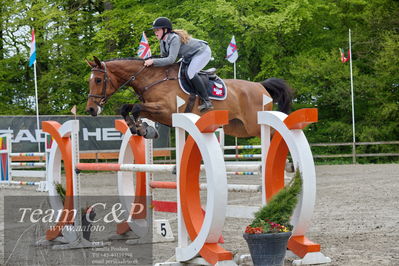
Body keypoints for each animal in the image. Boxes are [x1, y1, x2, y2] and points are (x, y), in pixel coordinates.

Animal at [86, 56, 292, 139]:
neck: (152, 79)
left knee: (276, 134)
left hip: (255, 125)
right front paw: (140, 128)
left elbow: (136, 108)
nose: (90, 109)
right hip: (239, 128)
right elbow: (127, 108)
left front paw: (142, 129)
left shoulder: (166, 110)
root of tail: (260, 86)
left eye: (98, 80)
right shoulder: (155, 110)